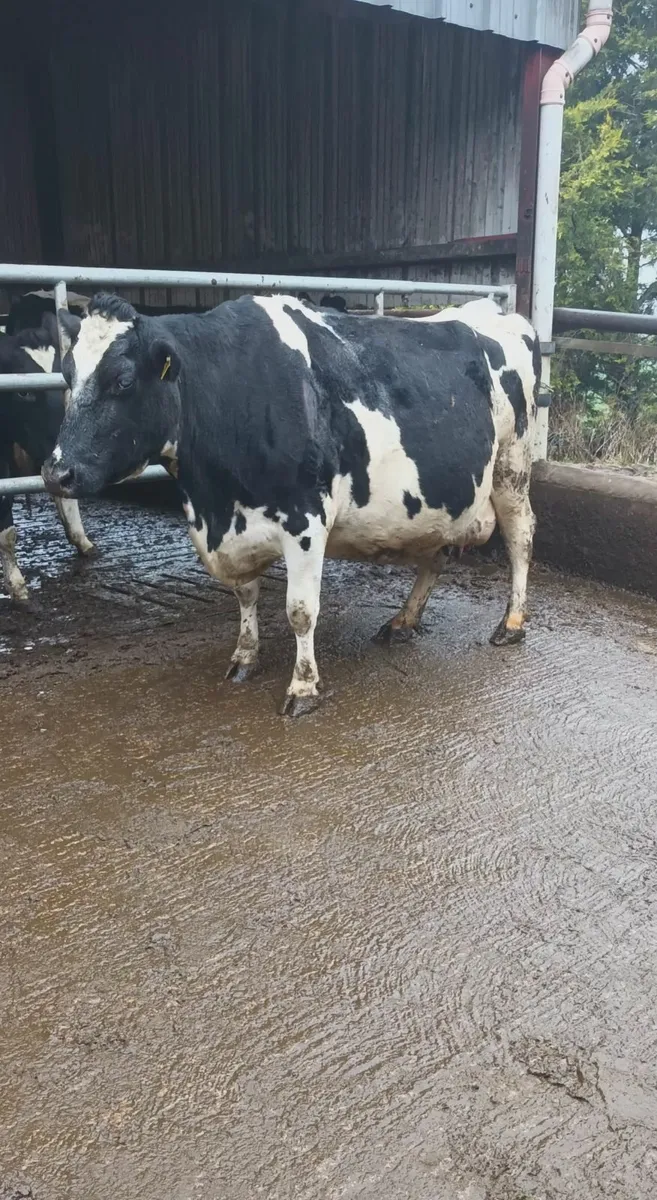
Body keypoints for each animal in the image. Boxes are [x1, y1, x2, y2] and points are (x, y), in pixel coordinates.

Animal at [42, 292, 540, 714]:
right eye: (66, 374)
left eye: (122, 380)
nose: (55, 473)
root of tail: (496, 310)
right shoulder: (232, 530)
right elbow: (245, 595)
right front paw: (245, 656)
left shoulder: (305, 521)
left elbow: (300, 611)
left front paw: (303, 687)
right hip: (440, 502)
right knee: (434, 556)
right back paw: (403, 621)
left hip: (512, 467)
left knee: (521, 537)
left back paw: (512, 623)